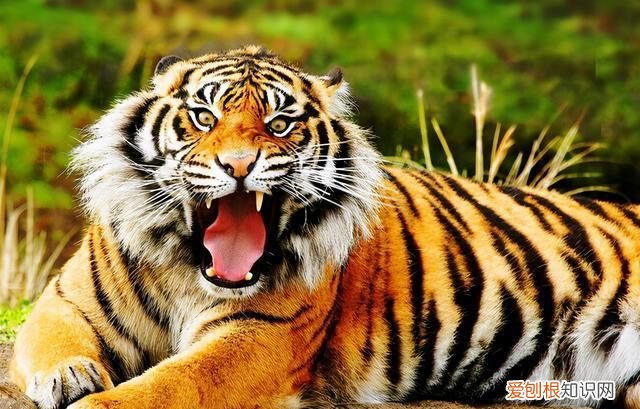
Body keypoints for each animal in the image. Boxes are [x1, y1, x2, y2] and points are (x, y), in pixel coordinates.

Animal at [9, 45, 640, 409]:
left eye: (280, 124)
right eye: (204, 117)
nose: (238, 164)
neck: (190, 271)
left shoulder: (257, 337)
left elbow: (169, 385)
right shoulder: (64, 300)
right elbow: (54, 342)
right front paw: (69, 376)